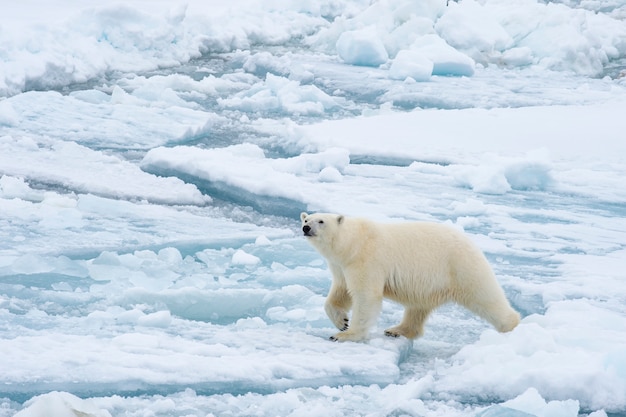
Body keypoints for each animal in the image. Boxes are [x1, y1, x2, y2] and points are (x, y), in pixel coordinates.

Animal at [300, 211, 520, 342]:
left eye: (321, 221)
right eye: (306, 218)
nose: (306, 227)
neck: (352, 243)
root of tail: (472, 244)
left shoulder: (367, 260)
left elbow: (365, 296)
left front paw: (345, 334)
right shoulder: (341, 266)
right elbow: (340, 291)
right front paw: (342, 321)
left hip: (462, 268)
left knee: (485, 297)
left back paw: (511, 326)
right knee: (417, 307)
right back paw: (397, 330)